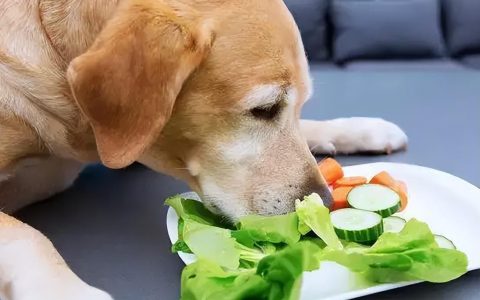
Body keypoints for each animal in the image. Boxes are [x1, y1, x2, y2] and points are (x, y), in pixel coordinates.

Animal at [0, 1, 406, 298]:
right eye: (264, 109)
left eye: (299, 104)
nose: (323, 201)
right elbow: (28, 235)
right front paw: (68, 290)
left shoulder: (124, 143)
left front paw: (359, 128)